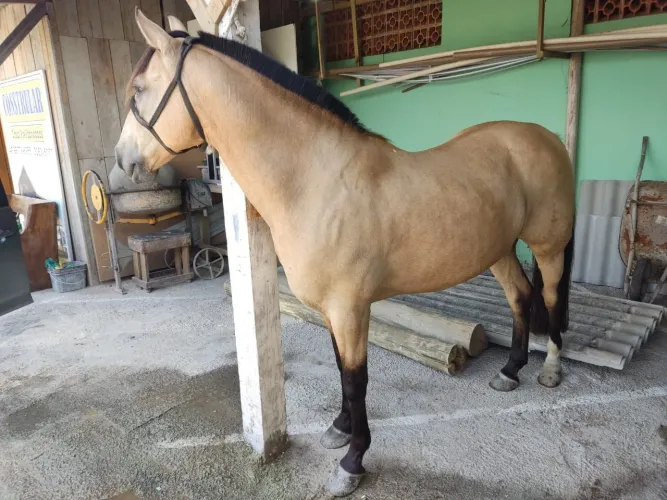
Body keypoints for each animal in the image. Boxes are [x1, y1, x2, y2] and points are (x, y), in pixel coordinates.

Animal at [114, 9, 575, 497]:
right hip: (499, 249)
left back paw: (549, 370)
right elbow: (340, 370)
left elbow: (356, 380)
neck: (315, 179)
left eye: (138, 89)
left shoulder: (350, 307)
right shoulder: (332, 310)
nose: (122, 162)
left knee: (547, 299)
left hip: (548, 247)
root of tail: (545, 138)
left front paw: (352, 462)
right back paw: (510, 371)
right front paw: (339, 428)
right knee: (520, 298)